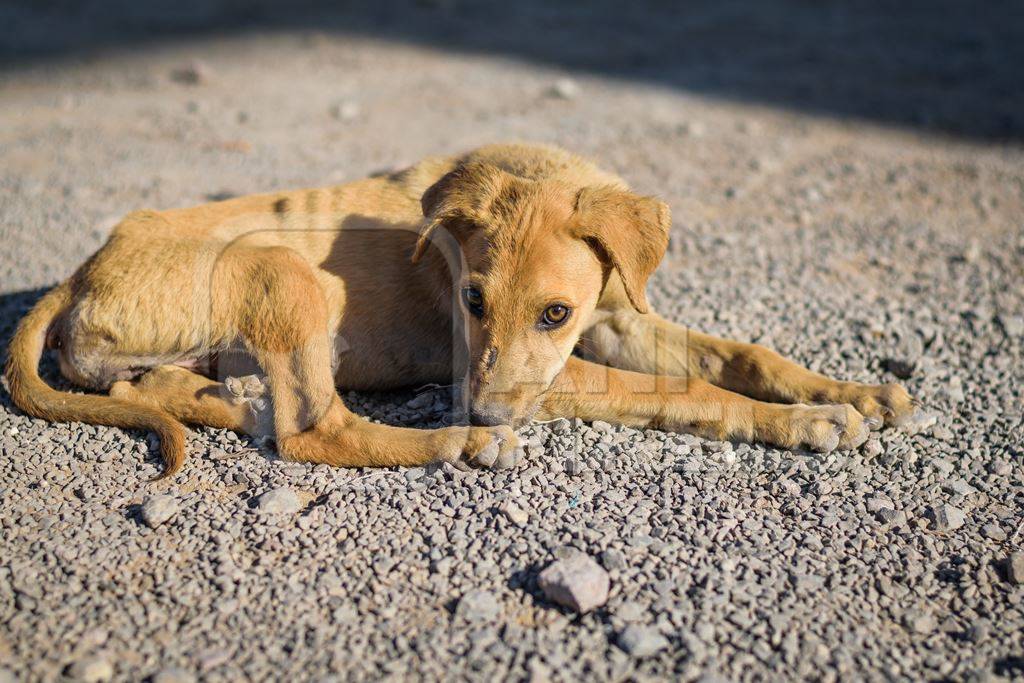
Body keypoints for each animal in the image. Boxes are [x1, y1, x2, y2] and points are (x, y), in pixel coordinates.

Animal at [4, 143, 917, 475]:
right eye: (472, 299)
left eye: (554, 313)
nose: (478, 404)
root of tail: (83, 268)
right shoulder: (558, 374)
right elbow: (693, 390)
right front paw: (809, 421)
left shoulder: (616, 317)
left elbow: (744, 355)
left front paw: (854, 391)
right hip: (285, 271)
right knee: (314, 431)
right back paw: (463, 443)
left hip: (181, 348)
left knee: (149, 390)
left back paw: (227, 397)